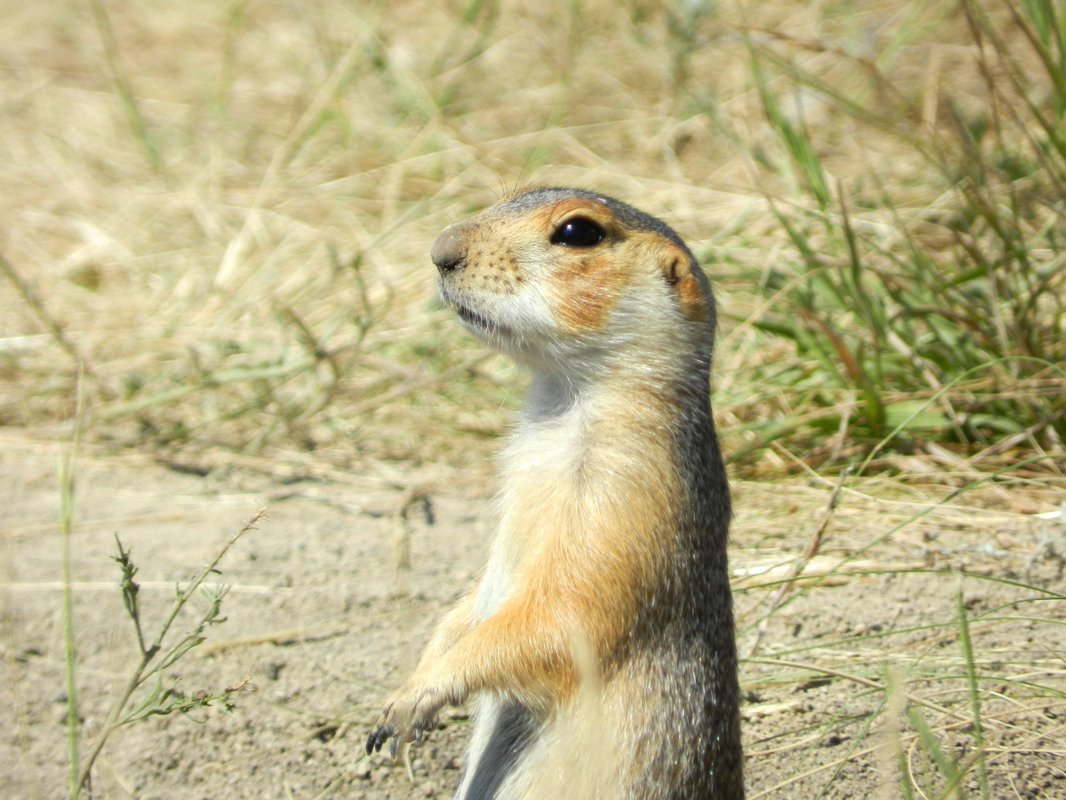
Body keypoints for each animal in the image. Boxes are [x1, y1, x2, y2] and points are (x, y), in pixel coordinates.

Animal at [368, 189, 741, 800]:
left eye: (577, 231)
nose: (440, 250)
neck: (558, 399)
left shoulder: (628, 495)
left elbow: (561, 616)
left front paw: (413, 699)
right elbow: (467, 607)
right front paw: (412, 680)